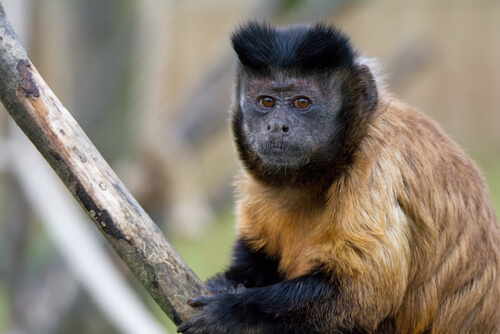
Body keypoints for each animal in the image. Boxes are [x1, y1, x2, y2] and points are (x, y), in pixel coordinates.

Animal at [177, 22, 500, 332]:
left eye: (302, 103)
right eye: (266, 102)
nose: (277, 125)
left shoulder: (378, 163)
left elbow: (361, 294)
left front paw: (233, 311)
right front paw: (226, 283)